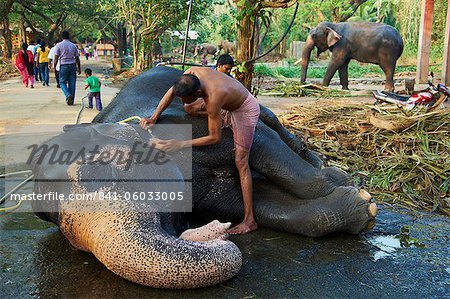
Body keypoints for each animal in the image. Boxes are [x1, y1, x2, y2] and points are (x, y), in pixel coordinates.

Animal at [29, 67, 378, 290]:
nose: (220, 235)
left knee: (274, 125)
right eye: (55, 223)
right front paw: (359, 209)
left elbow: (262, 146)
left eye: (96, 172)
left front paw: (357, 194)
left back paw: (328, 165)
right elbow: (257, 202)